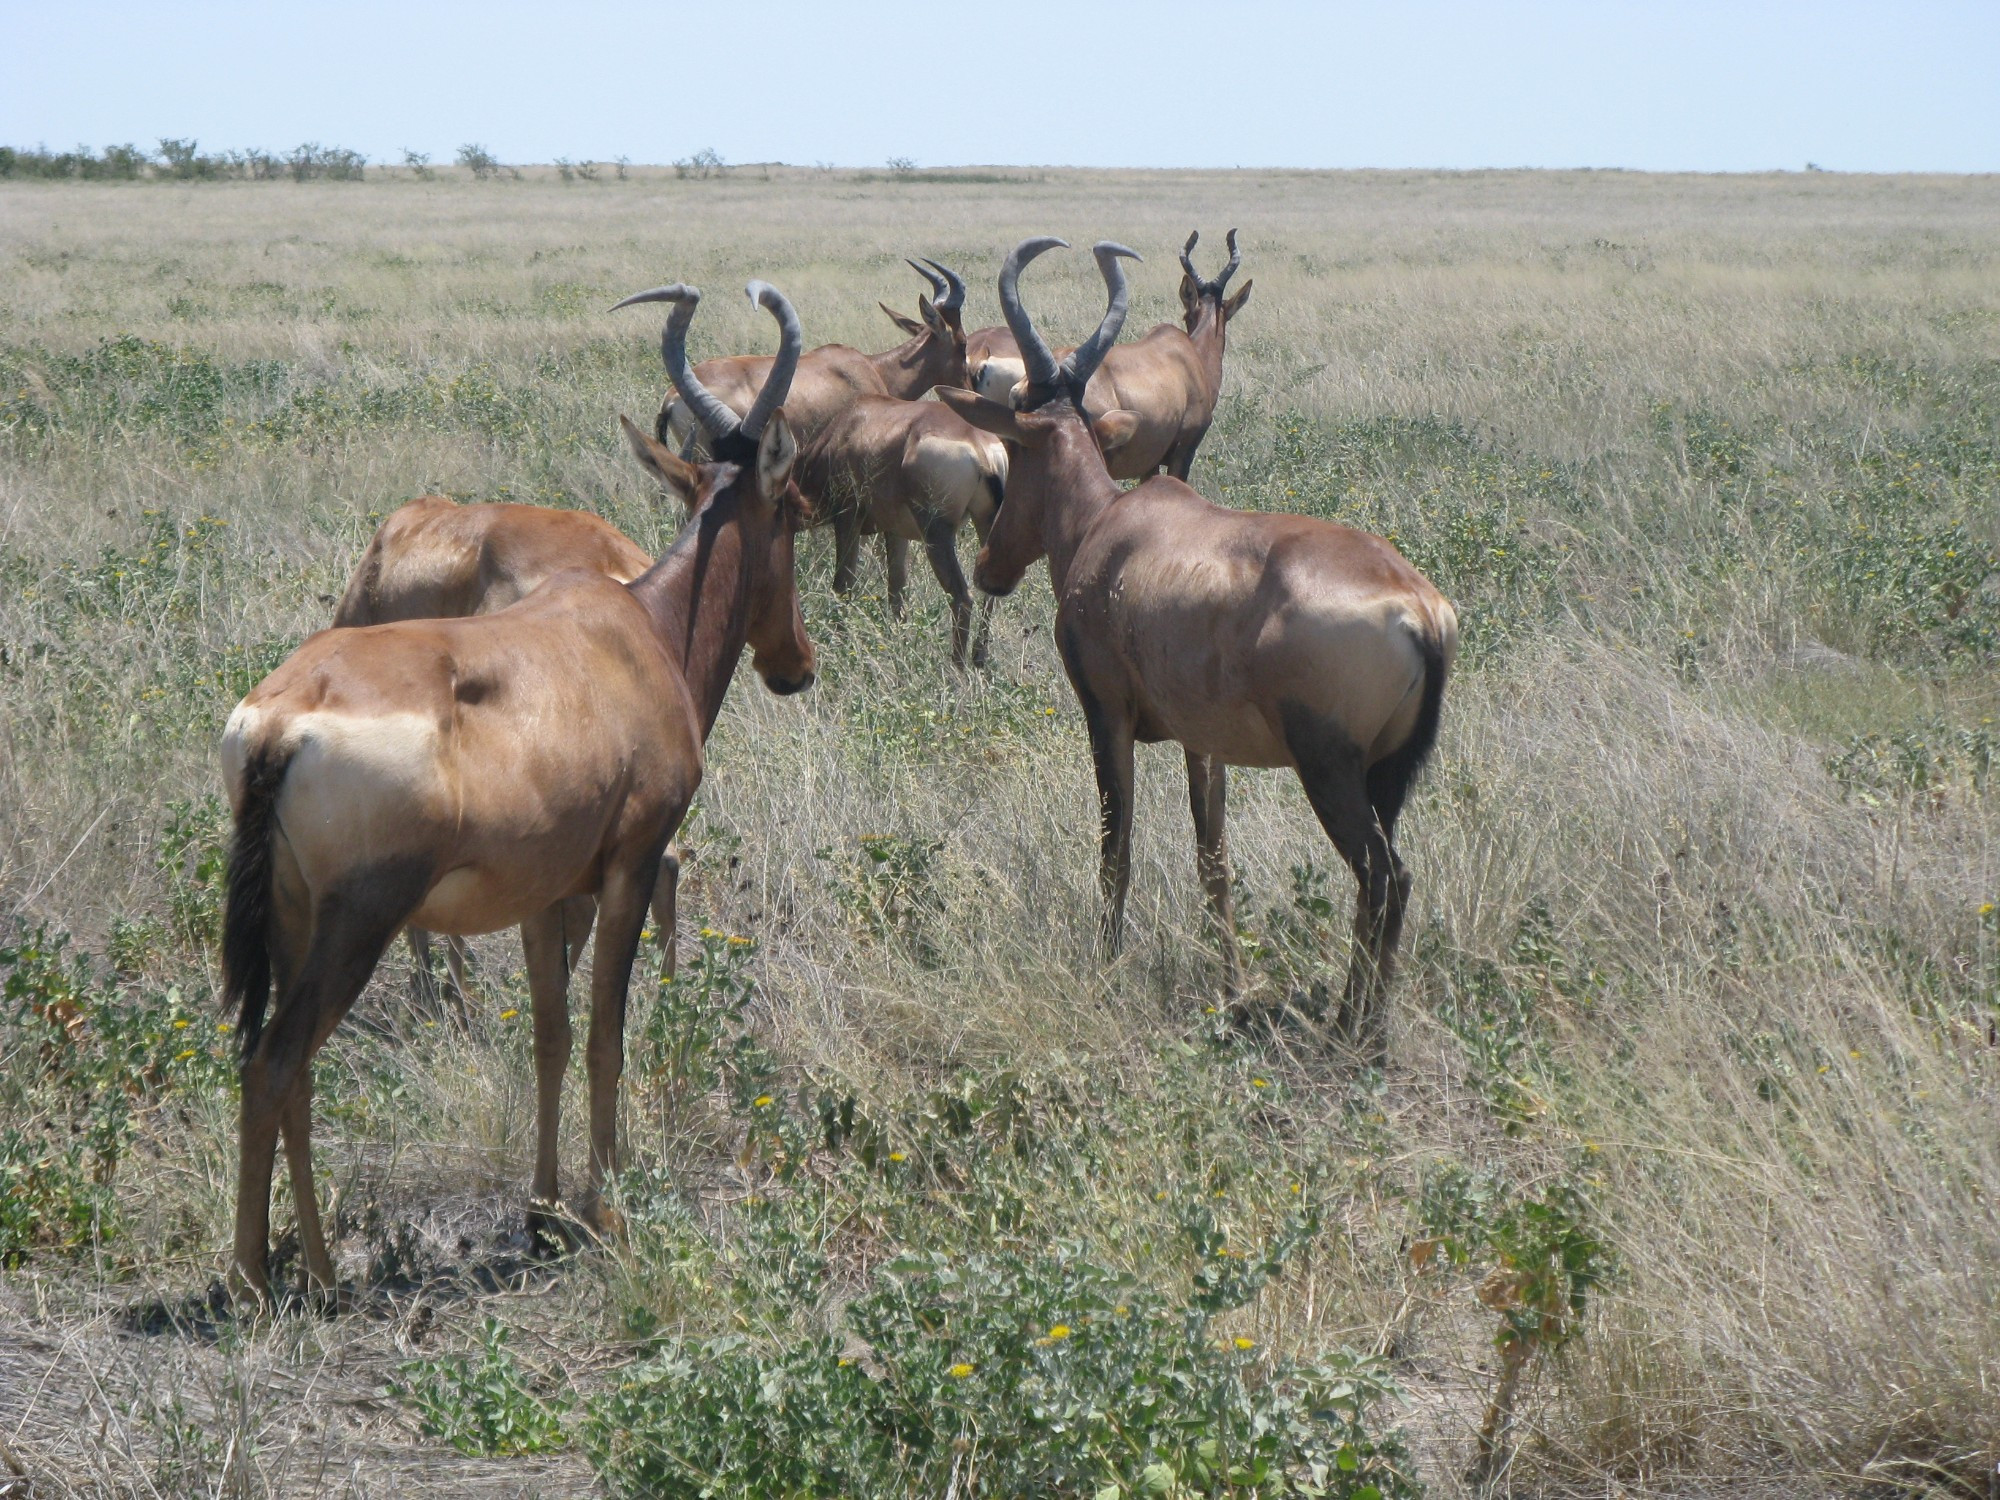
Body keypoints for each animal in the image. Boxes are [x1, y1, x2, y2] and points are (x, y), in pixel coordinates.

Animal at [219, 280, 812, 1304]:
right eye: (796, 508)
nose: (796, 666)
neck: (634, 630)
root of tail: (278, 725)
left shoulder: (547, 891)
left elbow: (550, 1034)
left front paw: (542, 1213)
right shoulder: (629, 863)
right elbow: (608, 1031)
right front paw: (607, 1212)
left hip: (292, 917)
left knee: (289, 1073)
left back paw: (322, 1266)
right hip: (358, 921)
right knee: (275, 1063)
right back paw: (264, 1281)